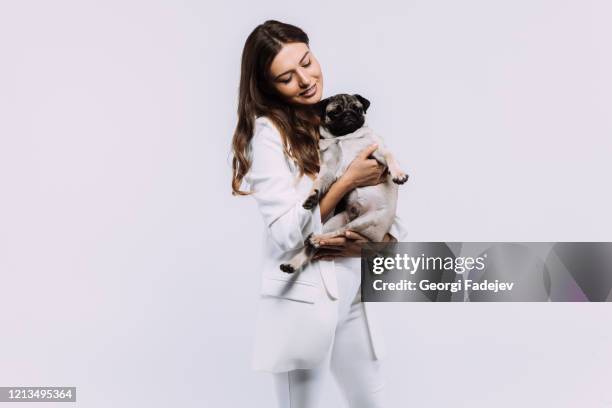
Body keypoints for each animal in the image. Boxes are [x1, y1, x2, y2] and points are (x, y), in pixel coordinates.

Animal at [280, 93, 408, 272]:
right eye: (335, 112)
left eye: (357, 108)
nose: (348, 114)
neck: (343, 138)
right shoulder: (328, 170)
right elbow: (318, 183)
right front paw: (312, 197)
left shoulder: (377, 150)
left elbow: (389, 155)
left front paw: (398, 174)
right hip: (334, 221)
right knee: (318, 243)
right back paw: (293, 262)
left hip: (365, 221)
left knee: (341, 232)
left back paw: (316, 240)